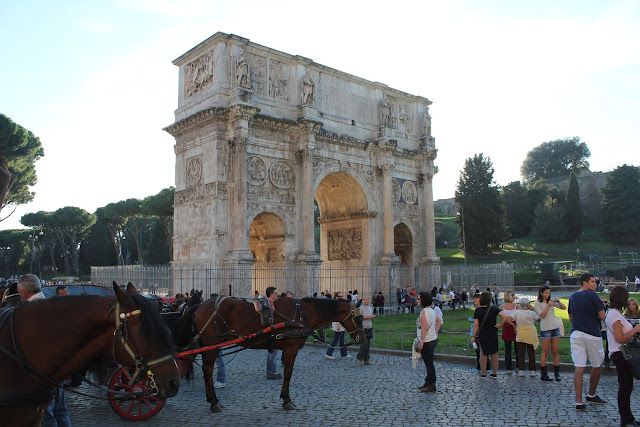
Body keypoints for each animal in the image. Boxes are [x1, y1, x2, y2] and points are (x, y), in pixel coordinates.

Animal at [178, 296, 364, 412]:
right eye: (360, 318)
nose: (362, 338)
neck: (302, 314)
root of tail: (201, 305)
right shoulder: (291, 348)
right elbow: (288, 373)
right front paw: (287, 400)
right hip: (212, 344)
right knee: (207, 370)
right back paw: (214, 402)